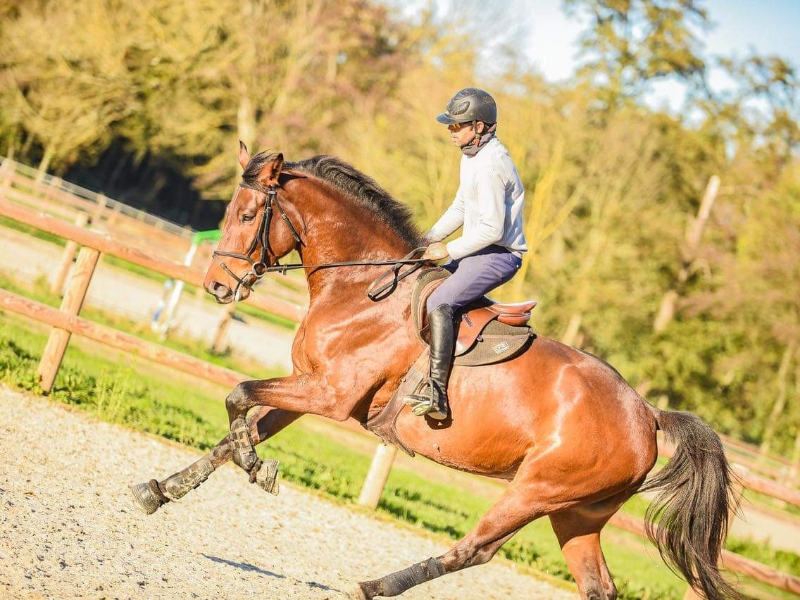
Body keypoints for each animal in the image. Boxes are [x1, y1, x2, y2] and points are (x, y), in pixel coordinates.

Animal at [128, 143, 740, 596]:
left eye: (249, 214)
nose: (217, 286)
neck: (361, 287)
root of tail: (648, 414)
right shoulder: (311, 391)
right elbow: (237, 429)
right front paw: (165, 489)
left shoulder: (328, 395)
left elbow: (237, 395)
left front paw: (258, 469)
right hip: (577, 514)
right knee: (597, 587)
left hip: (538, 491)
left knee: (476, 550)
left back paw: (374, 585)